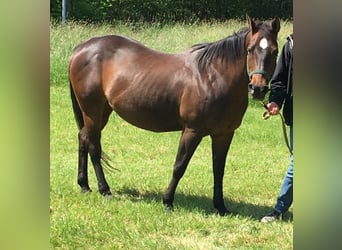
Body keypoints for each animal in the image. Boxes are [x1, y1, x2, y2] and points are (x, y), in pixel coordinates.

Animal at [68, 16, 280, 215]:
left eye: (275, 51)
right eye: (250, 49)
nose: (258, 89)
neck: (213, 76)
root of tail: (81, 49)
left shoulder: (224, 134)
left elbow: (218, 170)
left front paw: (220, 206)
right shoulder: (192, 131)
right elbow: (180, 165)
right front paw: (168, 202)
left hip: (102, 111)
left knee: (83, 138)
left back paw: (84, 185)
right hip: (92, 111)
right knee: (94, 146)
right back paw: (105, 190)